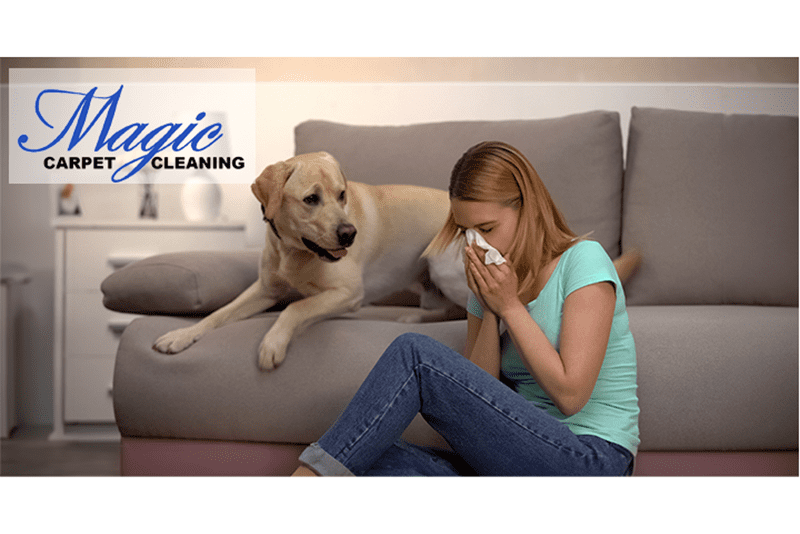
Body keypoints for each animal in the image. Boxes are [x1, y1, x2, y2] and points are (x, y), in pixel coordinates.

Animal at [153, 153, 462, 372]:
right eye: (311, 199)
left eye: (342, 194)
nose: (349, 234)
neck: (294, 252)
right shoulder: (265, 290)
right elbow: (218, 313)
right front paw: (182, 334)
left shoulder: (348, 293)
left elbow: (295, 307)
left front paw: (273, 342)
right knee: (449, 309)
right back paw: (417, 317)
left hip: (441, 267)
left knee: (463, 312)